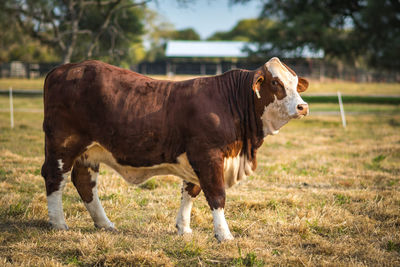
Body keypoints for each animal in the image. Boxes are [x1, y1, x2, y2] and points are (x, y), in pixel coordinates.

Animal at [41, 57, 310, 242]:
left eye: (296, 83)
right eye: (275, 83)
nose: (303, 107)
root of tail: (65, 68)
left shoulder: (197, 159)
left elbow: (190, 191)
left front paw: (184, 228)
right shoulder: (208, 155)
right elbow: (216, 195)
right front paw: (224, 235)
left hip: (90, 151)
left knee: (85, 183)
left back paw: (104, 223)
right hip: (63, 144)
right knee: (55, 177)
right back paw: (59, 224)